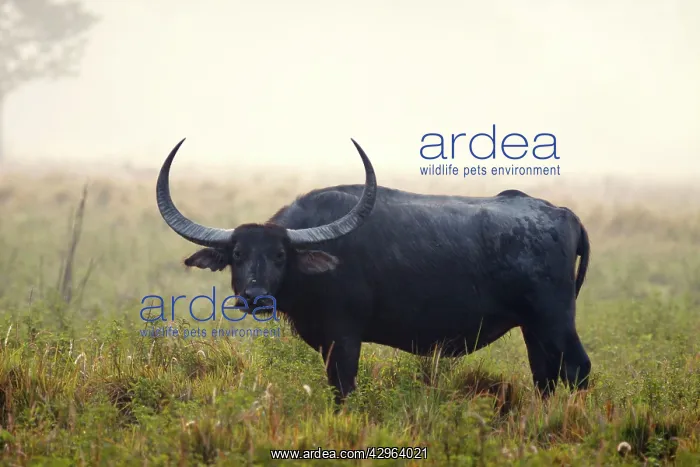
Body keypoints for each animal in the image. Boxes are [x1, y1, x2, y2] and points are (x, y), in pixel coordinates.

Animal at [156, 138, 592, 404]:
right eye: (238, 253)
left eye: (280, 255)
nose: (254, 297)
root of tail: (563, 214)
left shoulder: (345, 339)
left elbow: (344, 390)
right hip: (534, 329)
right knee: (545, 377)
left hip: (555, 323)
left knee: (577, 370)